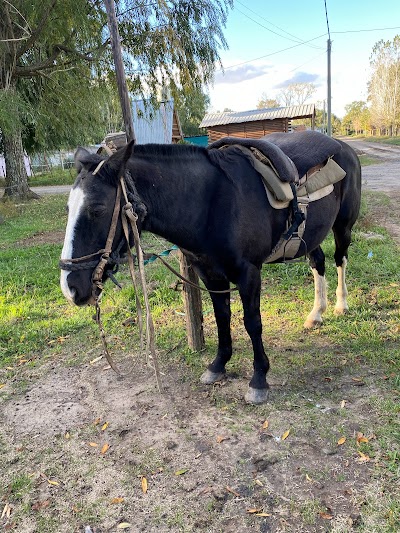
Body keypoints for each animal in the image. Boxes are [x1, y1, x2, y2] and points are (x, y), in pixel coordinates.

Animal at [60, 132, 362, 404]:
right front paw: (218, 365)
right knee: (318, 262)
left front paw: (259, 379)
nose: (70, 288)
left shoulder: (249, 274)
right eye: (68, 208)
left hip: (343, 227)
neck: (213, 203)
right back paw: (316, 313)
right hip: (311, 236)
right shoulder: (210, 275)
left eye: (98, 209)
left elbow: (252, 323)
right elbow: (221, 318)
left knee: (340, 259)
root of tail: (344, 147)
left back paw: (340, 305)